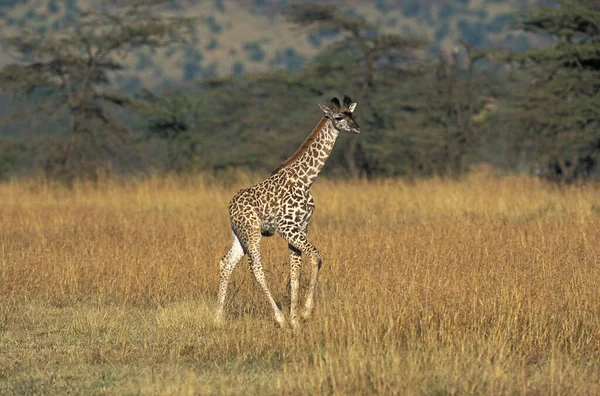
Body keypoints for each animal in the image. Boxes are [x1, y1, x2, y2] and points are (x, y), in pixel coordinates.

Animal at [214, 95, 358, 328]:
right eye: (338, 117)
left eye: (352, 114)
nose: (356, 128)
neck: (306, 180)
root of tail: (230, 206)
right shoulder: (286, 228)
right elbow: (316, 256)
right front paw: (305, 313)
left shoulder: (302, 227)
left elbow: (295, 273)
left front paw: (296, 321)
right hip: (252, 234)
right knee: (256, 268)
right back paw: (279, 318)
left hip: (239, 235)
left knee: (226, 263)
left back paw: (218, 318)